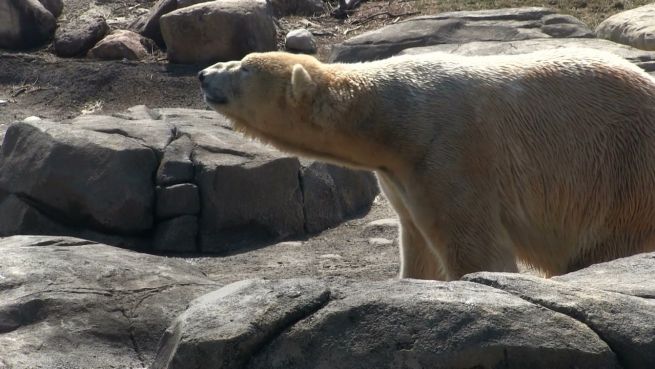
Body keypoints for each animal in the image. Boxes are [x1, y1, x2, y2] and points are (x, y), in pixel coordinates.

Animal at [197, 49, 655, 278]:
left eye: (242, 67)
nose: (203, 74)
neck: (393, 116)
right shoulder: (399, 174)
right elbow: (418, 245)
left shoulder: (451, 154)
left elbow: (477, 250)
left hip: (622, 176)